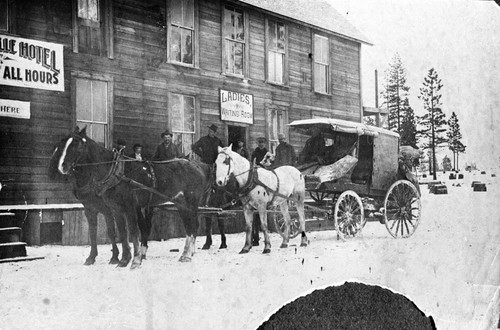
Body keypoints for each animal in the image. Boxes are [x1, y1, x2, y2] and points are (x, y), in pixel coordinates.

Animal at [48, 127, 207, 266]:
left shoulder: (127, 208)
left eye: (77, 145)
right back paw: (185, 254)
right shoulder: (111, 209)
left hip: (191, 202)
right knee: (188, 225)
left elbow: (131, 232)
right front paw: (122, 259)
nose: (61, 167)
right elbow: (120, 233)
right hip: (180, 203)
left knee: (193, 225)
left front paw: (131, 260)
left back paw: (188, 254)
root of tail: (197, 167)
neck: (115, 172)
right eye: (62, 145)